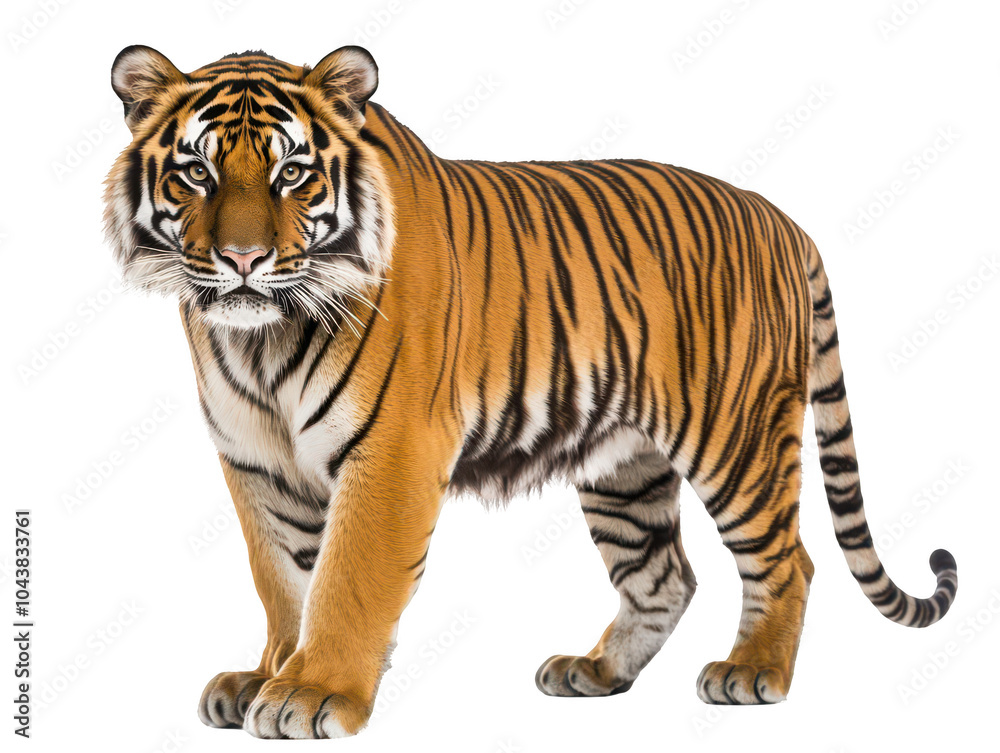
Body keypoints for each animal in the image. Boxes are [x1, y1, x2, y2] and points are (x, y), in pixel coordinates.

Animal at [103, 45, 958, 739]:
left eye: (292, 172)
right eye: (197, 172)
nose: (242, 260)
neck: (261, 338)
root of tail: (784, 220)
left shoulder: (391, 451)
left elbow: (347, 579)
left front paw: (313, 692)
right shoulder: (258, 463)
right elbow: (283, 579)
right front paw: (268, 673)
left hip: (736, 437)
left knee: (790, 560)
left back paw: (752, 672)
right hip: (624, 468)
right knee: (665, 577)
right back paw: (597, 671)